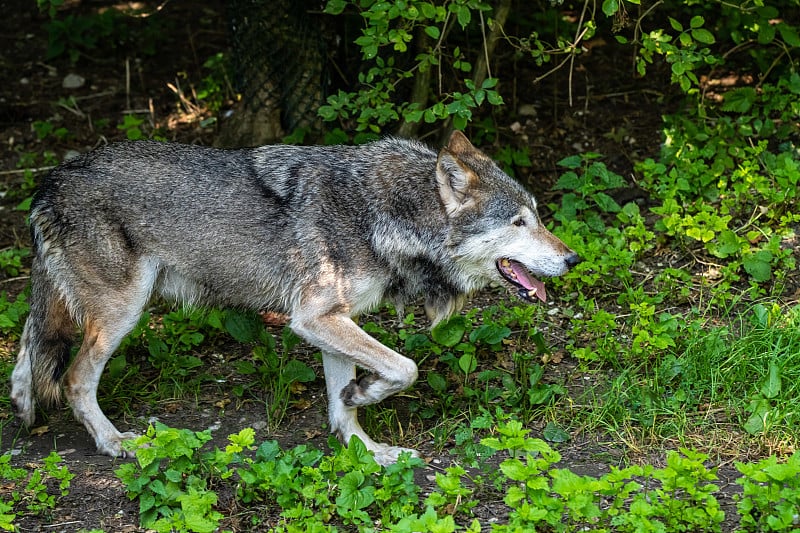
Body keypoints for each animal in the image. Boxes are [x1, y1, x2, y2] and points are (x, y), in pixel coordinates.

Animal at [9, 131, 580, 464]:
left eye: (538, 217)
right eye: (519, 222)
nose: (574, 259)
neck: (385, 215)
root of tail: (49, 180)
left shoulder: (334, 321)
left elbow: (343, 403)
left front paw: (365, 446)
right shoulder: (313, 319)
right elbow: (406, 367)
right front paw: (366, 397)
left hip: (70, 310)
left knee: (25, 353)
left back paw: (22, 409)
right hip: (121, 315)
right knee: (75, 379)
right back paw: (114, 444)